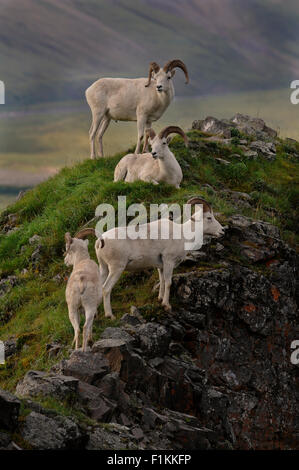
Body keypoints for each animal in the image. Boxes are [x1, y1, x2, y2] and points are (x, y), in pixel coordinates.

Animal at [75, 196, 225, 318]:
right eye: (209, 218)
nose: (222, 231)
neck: (183, 234)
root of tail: (100, 240)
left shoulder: (161, 266)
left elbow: (162, 281)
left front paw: (160, 300)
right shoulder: (169, 261)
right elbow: (168, 282)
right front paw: (166, 306)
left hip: (104, 268)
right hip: (116, 268)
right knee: (106, 289)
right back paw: (109, 316)